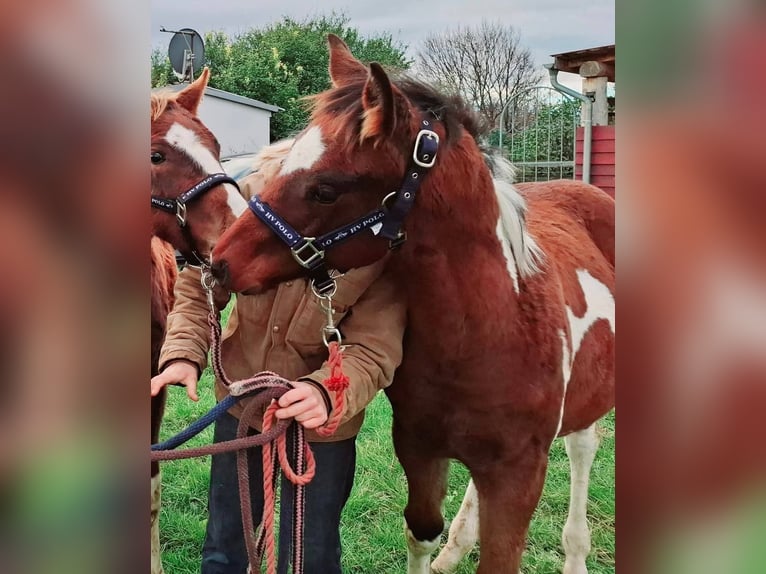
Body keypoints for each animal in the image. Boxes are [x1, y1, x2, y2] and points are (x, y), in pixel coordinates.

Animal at [212, 37, 616, 574]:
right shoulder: (419, 448)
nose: (220, 261)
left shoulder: (521, 472)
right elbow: (422, 532)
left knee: (582, 449)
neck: (486, 334)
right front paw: (444, 548)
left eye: (326, 188)